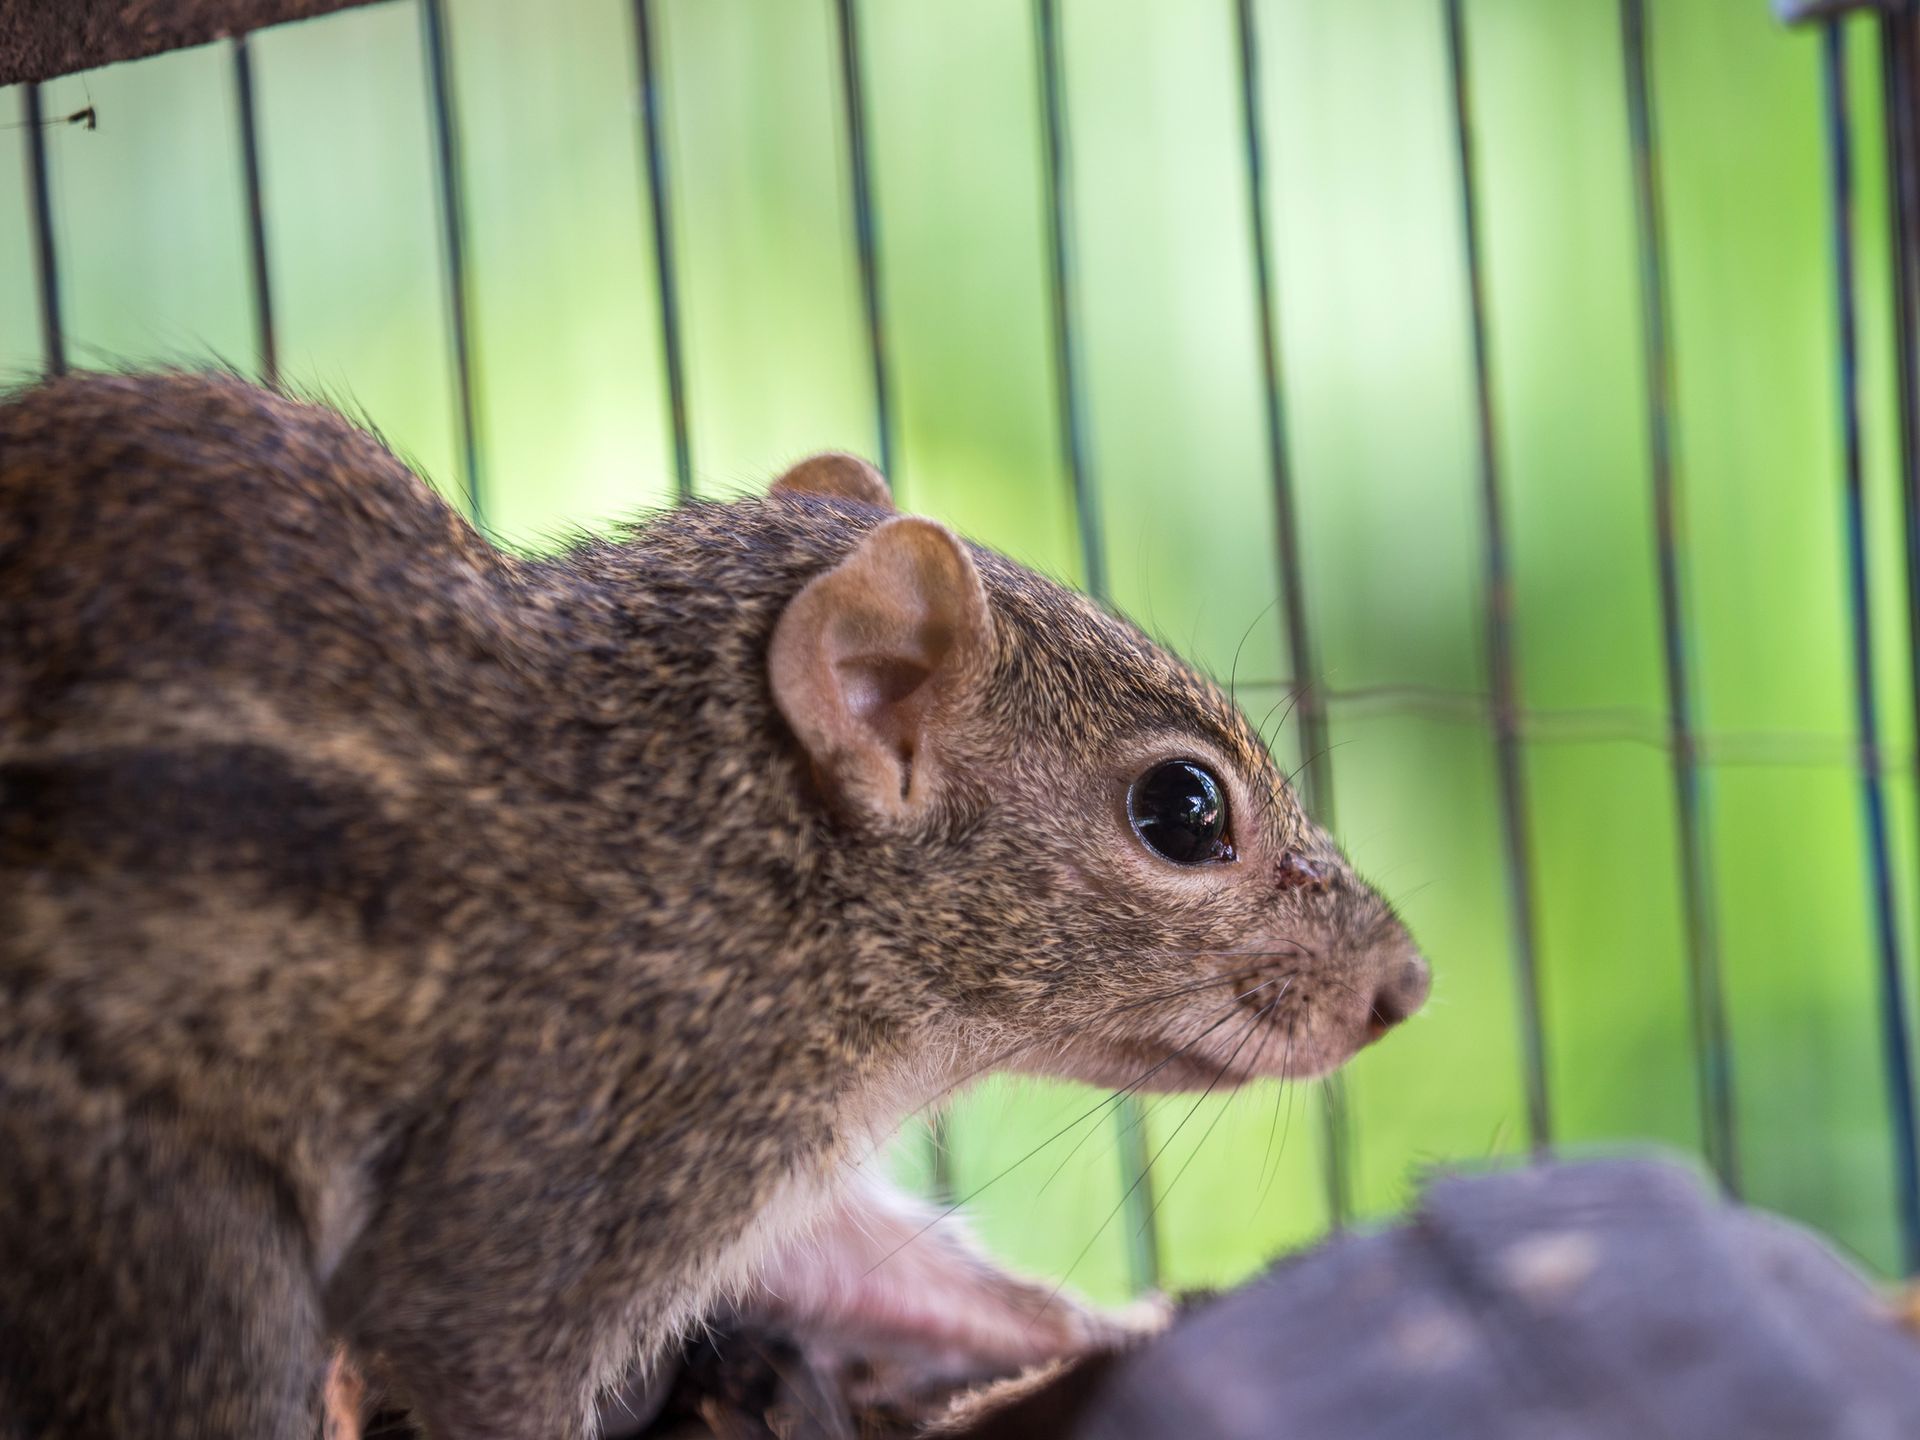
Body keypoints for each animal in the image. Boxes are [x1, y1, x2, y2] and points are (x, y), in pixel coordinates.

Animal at [0, 371, 1429, 1440]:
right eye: (1183, 812)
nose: (1405, 983)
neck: (726, 854)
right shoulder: (597, 1114)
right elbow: (472, 1342)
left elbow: (873, 1268)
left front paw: (1130, 1323)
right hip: (160, 1237)